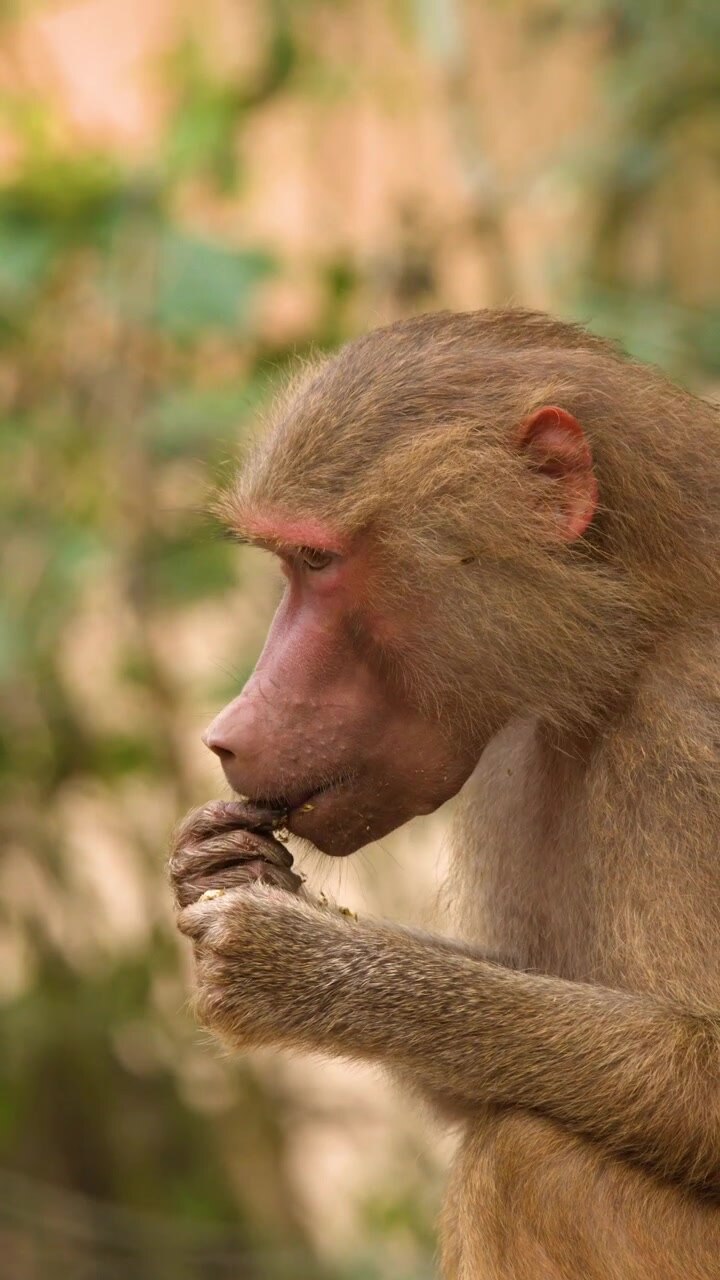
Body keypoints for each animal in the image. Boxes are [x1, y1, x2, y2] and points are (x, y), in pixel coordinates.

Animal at [169, 309, 720, 1279]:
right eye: (291, 563)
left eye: (317, 561)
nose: (225, 735)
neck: (638, 630)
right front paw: (223, 867)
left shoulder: (693, 719)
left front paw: (292, 963)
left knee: (529, 1162)